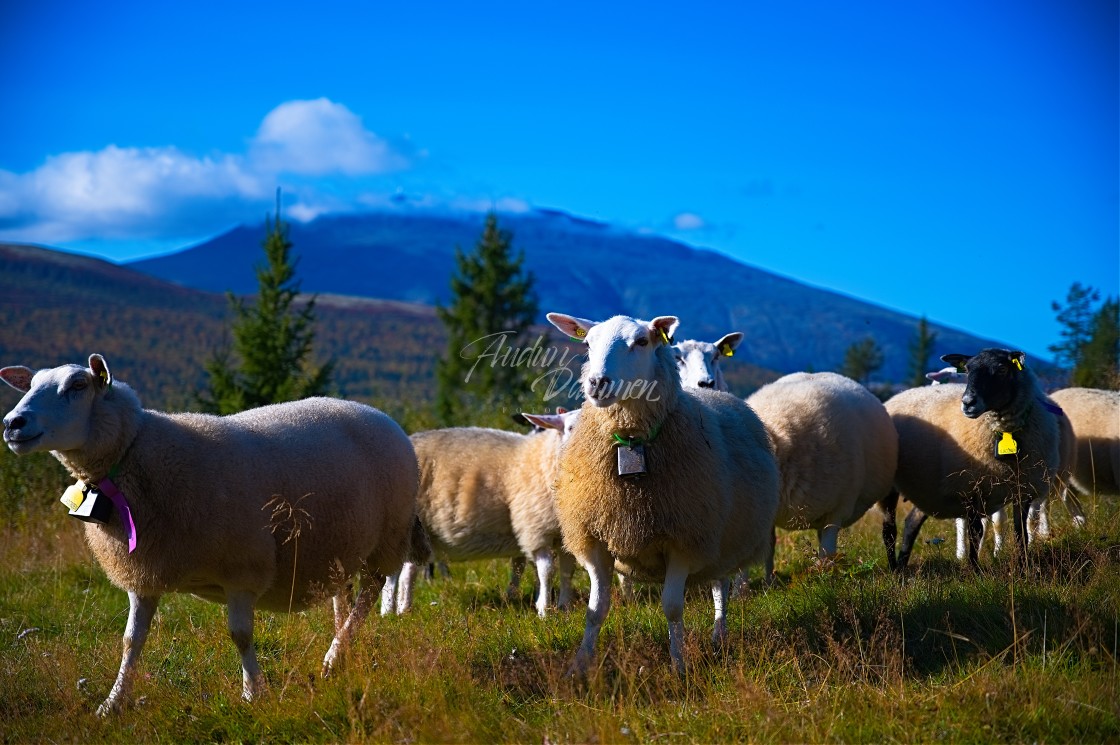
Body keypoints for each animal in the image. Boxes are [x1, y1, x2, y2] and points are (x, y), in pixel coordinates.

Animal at [0, 354, 421, 716]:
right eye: (31, 384)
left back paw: (335, 655)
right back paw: (340, 651)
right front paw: (112, 704)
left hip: (387, 537)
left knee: (369, 592)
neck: (139, 452)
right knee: (341, 595)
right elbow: (131, 640)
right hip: (338, 544)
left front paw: (253, 693)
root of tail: (379, 414)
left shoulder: (242, 567)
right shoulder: (144, 570)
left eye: (77, 385)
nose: (12, 424)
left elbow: (241, 635)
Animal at [380, 407, 582, 613]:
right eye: (570, 427)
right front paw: (544, 610)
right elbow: (547, 571)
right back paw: (391, 611)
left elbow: (567, 570)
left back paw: (401, 608)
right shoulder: (535, 529)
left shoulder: (566, 534)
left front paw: (565, 607)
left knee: (407, 570)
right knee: (397, 573)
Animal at [544, 311, 779, 672]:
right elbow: (595, 610)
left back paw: (719, 634)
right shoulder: (595, 538)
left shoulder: (685, 539)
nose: (597, 383)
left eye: (642, 341)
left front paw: (678, 665)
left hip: (721, 532)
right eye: (587, 344)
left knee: (720, 586)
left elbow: (672, 607)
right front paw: (579, 667)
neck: (630, 443)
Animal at [743, 371, 900, 582]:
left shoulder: (838, 509)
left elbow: (828, 552)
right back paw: (770, 580)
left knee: (889, 532)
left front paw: (825, 580)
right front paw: (744, 587)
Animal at [878, 345, 1061, 566]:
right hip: (890, 486)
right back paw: (893, 568)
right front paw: (975, 569)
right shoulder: (972, 488)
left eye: (1002, 369)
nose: (967, 403)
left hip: (926, 487)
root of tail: (898, 395)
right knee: (889, 530)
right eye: (967, 369)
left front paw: (1024, 565)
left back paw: (903, 565)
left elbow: (1021, 532)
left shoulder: (1023, 490)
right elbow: (976, 532)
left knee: (911, 522)